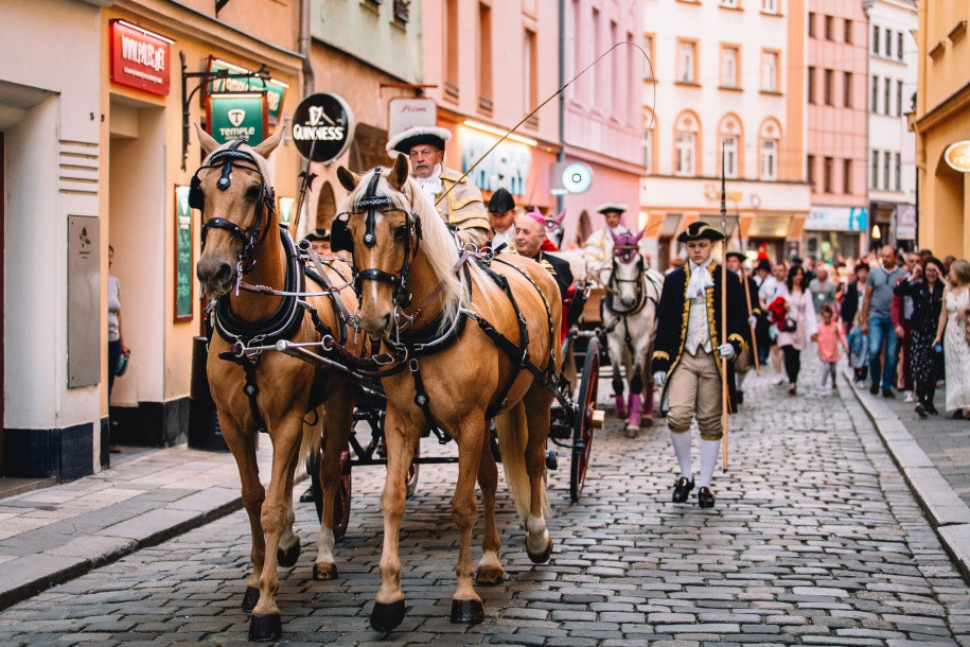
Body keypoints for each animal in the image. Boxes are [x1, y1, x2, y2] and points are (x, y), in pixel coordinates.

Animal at [193, 126, 364, 644]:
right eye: (198, 191)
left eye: (255, 191)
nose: (213, 271)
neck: (254, 326)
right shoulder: (235, 423)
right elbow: (255, 498)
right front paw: (255, 581)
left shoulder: (288, 417)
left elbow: (271, 504)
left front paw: (267, 607)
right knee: (289, 479)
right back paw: (288, 544)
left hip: (339, 399)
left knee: (326, 473)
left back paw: (324, 553)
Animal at [332, 156, 560, 632]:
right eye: (349, 229)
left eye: (402, 229)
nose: (373, 318)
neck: (428, 330)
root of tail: (531, 264)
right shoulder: (401, 423)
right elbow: (394, 500)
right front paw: (388, 596)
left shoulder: (469, 422)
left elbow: (462, 506)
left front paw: (464, 594)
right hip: (492, 413)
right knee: (490, 478)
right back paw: (490, 561)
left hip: (537, 392)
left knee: (532, 462)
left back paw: (536, 537)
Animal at [600, 230, 660, 438]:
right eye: (615, 262)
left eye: (638, 263)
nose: (627, 300)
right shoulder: (613, 342)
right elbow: (618, 380)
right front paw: (623, 412)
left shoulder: (642, 342)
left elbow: (636, 382)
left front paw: (634, 423)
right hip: (627, 348)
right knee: (628, 372)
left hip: (652, 344)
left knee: (648, 377)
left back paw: (646, 415)